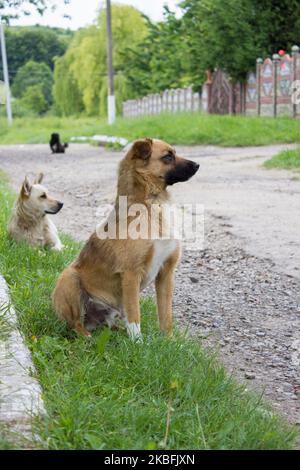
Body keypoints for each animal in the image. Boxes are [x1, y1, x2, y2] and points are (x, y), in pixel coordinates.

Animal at [52, 138, 199, 340]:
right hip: (69, 278)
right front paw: (138, 343)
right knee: (75, 324)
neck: (150, 205)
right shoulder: (131, 274)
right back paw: (88, 338)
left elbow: (166, 315)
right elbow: (134, 316)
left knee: (107, 325)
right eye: (168, 156)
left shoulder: (166, 273)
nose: (198, 165)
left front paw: (168, 341)